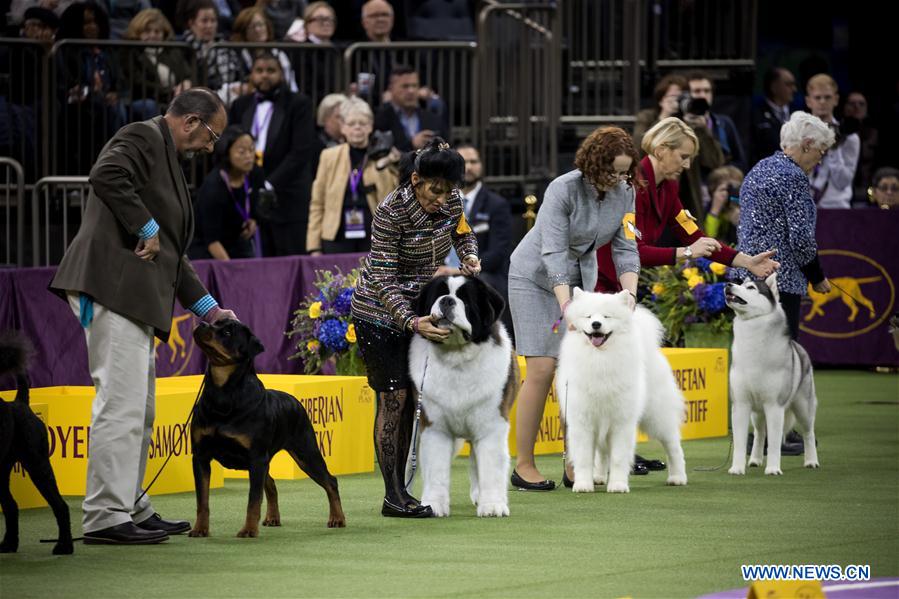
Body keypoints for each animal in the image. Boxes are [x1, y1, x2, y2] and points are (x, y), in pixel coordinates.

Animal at [410, 276, 516, 516]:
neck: (456, 356)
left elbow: (490, 467)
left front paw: (492, 505)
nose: (447, 300)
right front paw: (433, 505)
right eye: (439, 293)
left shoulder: (491, 425)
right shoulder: (435, 428)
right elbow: (436, 470)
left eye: (466, 300)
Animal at [556, 290, 688, 492]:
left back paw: (677, 477)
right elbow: (585, 459)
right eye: (588, 316)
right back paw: (599, 477)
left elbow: (618, 458)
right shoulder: (583, 421)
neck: (600, 359)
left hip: (658, 418)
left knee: (673, 447)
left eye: (606, 317)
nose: (596, 324)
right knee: (602, 453)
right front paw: (583, 485)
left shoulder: (621, 422)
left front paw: (618, 485)